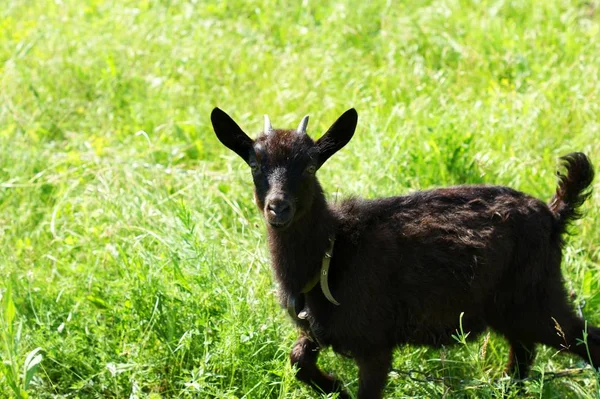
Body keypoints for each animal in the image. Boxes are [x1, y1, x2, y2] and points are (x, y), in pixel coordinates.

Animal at [211, 108, 600, 399]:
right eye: (254, 165)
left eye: (309, 166)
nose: (278, 208)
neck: (335, 252)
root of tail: (552, 214)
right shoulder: (319, 328)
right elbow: (297, 360)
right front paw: (335, 388)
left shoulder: (374, 343)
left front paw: (340, 390)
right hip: (511, 306)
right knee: (523, 352)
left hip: (539, 298)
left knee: (583, 339)